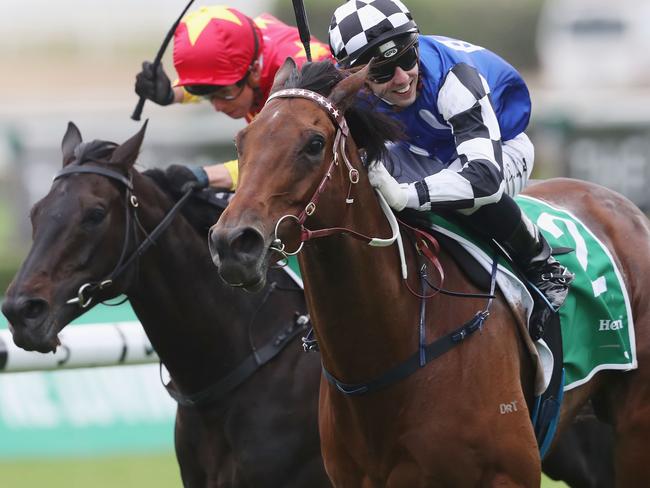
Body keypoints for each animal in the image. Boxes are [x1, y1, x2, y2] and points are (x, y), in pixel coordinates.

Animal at [209, 59, 648, 486]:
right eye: (241, 142)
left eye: (314, 144)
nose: (233, 243)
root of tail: (625, 207)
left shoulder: (510, 473)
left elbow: (482, 176)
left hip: (632, 430)